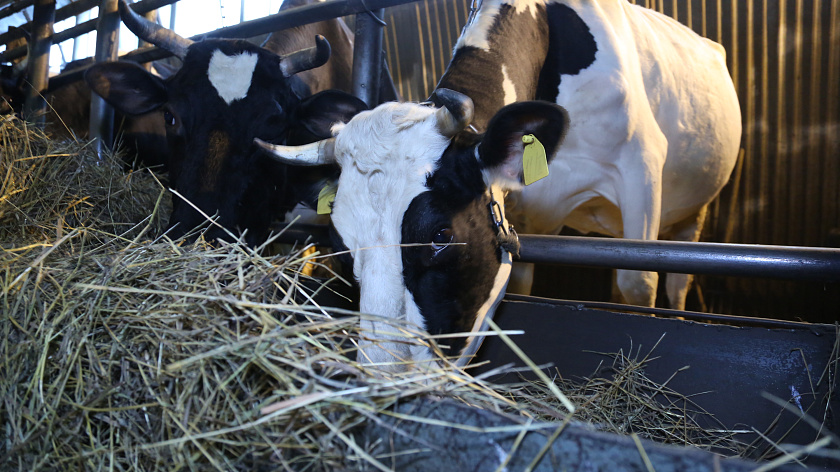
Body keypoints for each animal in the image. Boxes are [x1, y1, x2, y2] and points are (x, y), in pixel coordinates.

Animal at [260, 0, 740, 368]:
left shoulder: (639, 168)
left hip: (692, 211)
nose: (384, 378)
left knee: (678, 277)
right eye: (341, 247)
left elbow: (637, 282)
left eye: (440, 235)